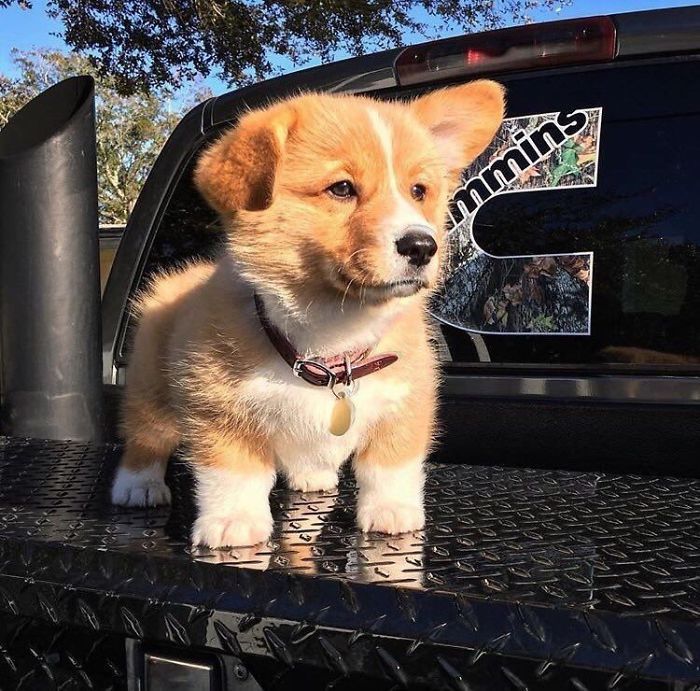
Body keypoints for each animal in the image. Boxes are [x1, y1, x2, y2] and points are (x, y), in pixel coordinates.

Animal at [110, 81, 504, 548]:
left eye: (419, 191)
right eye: (341, 188)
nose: (423, 247)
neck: (331, 334)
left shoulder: (405, 402)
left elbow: (390, 466)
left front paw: (391, 512)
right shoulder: (217, 409)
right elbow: (233, 472)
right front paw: (234, 521)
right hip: (150, 385)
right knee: (147, 433)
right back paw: (137, 485)